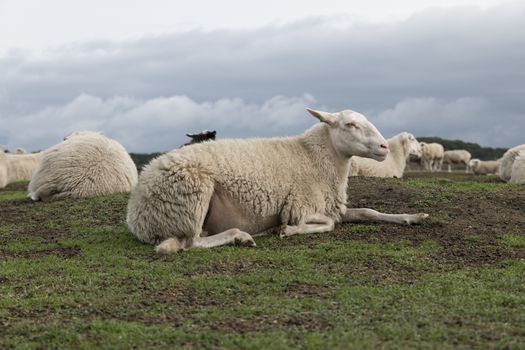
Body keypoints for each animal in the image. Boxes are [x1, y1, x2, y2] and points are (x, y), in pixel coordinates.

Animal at [125, 108, 428, 253]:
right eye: (349, 125)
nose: (384, 148)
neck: (313, 157)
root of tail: (135, 213)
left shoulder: (331, 205)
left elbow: (369, 211)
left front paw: (413, 217)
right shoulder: (299, 206)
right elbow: (326, 224)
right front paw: (286, 230)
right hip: (194, 196)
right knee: (191, 243)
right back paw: (240, 236)